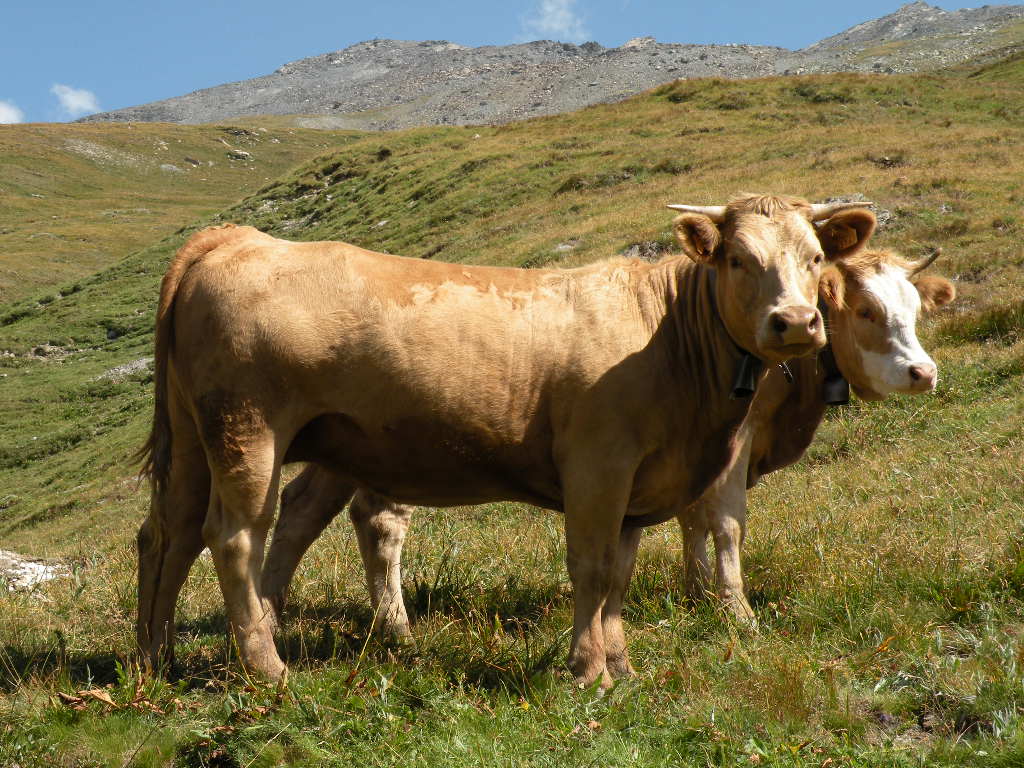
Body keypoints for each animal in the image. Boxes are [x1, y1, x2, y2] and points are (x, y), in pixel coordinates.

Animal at [136, 195, 875, 687]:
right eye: (737, 259)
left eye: (815, 258)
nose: (795, 321)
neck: (666, 335)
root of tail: (233, 239)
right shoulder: (598, 464)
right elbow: (592, 568)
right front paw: (588, 671)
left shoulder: (637, 486)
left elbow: (620, 575)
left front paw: (621, 663)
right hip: (247, 430)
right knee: (234, 535)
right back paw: (267, 668)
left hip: (195, 439)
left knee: (167, 534)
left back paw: (154, 658)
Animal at [259, 245, 954, 654]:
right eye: (865, 311)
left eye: (916, 308)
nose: (923, 372)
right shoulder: (727, 451)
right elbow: (725, 525)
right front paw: (737, 613)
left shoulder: (692, 452)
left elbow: (689, 521)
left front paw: (696, 593)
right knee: (376, 520)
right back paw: (379, 628)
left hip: (340, 451)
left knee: (306, 511)